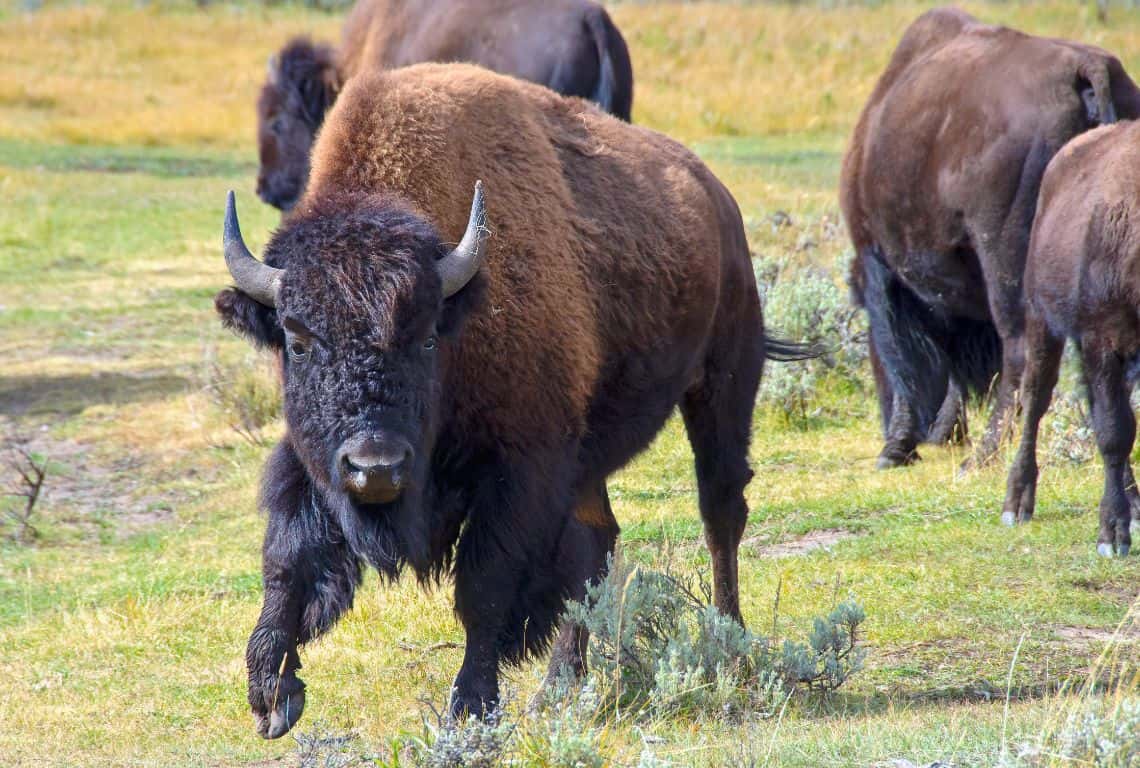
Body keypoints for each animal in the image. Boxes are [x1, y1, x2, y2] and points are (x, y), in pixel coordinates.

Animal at [217, 61, 807, 733]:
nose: (377, 467)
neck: (461, 311)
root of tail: (717, 198)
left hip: (722, 382)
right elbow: (287, 560)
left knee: (720, 509)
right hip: (594, 452)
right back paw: (560, 687)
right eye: (296, 340)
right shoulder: (312, 460)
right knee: (600, 540)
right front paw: (272, 694)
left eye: (426, 336)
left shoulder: (522, 470)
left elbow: (486, 588)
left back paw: (730, 644)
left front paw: (470, 707)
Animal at [839, 8, 1140, 469]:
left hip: (1005, 259)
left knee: (1018, 352)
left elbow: (907, 357)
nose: (892, 436)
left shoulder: (882, 268)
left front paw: (896, 449)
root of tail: (1087, 70)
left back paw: (981, 458)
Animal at [1003, 121, 1140, 556]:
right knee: (1035, 399)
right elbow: (1114, 431)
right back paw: (1017, 502)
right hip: (1041, 322)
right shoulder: (1102, 337)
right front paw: (1112, 534)